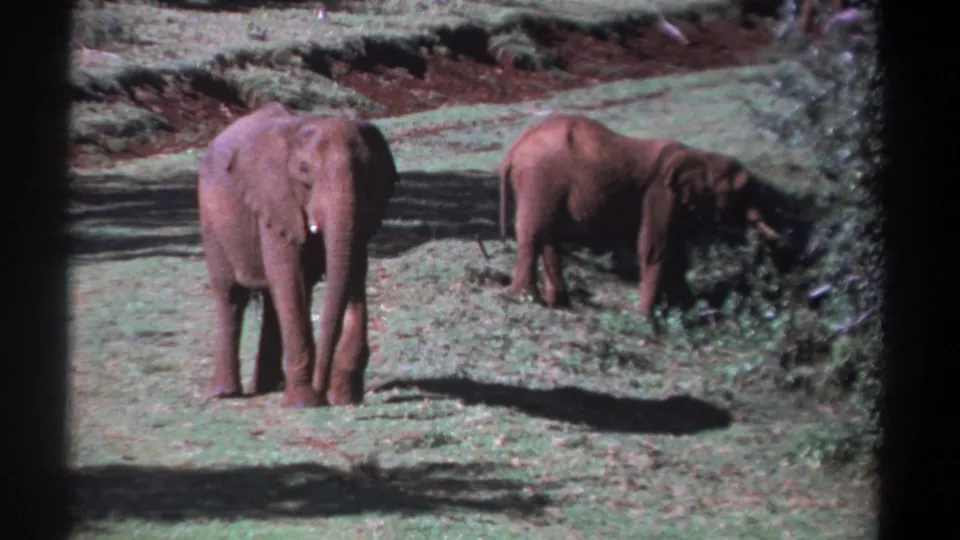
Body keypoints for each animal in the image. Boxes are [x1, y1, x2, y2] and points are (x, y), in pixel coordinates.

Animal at [197, 102, 400, 408]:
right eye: (304, 171)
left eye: (367, 173)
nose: (323, 390)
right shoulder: (275, 201)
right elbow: (289, 277)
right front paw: (304, 402)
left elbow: (354, 271)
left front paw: (344, 396)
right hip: (212, 222)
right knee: (231, 295)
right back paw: (225, 393)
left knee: (271, 299)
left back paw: (270, 386)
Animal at [498, 114, 785, 323]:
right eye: (742, 191)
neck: (701, 157)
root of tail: (514, 150)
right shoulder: (660, 193)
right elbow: (655, 247)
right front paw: (647, 317)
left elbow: (677, 252)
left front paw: (688, 311)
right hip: (540, 179)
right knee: (534, 236)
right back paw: (525, 298)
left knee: (548, 239)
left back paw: (559, 304)